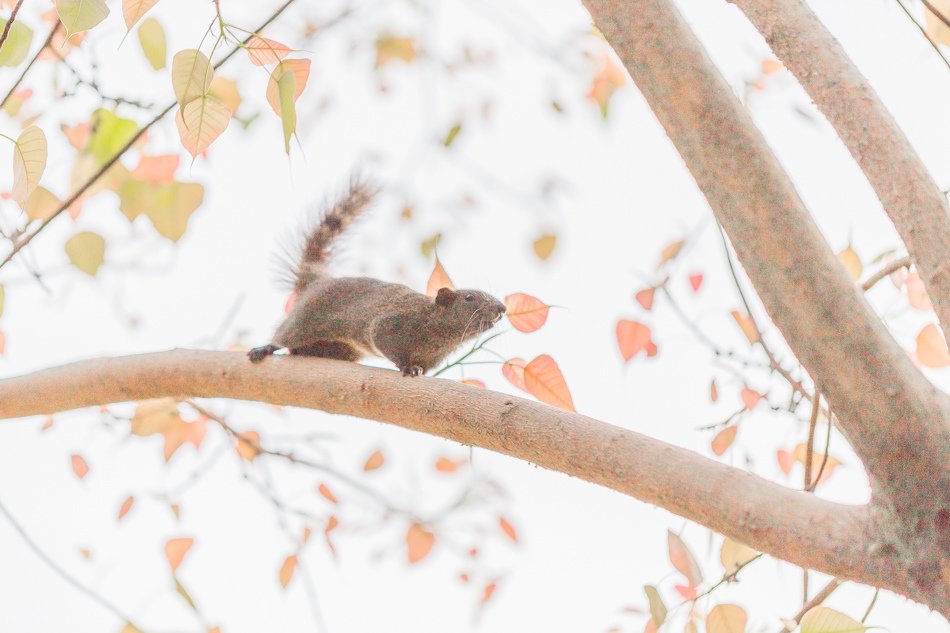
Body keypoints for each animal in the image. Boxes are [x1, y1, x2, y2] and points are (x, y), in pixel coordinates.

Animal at [249, 175, 510, 376]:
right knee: (284, 336)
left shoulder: (432, 359)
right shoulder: (389, 325)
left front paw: (419, 369)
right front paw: (407, 367)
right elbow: (385, 341)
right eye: (469, 298)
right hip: (304, 320)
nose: (502, 309)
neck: (438, 329)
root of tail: (316, 282)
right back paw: (265, 348)